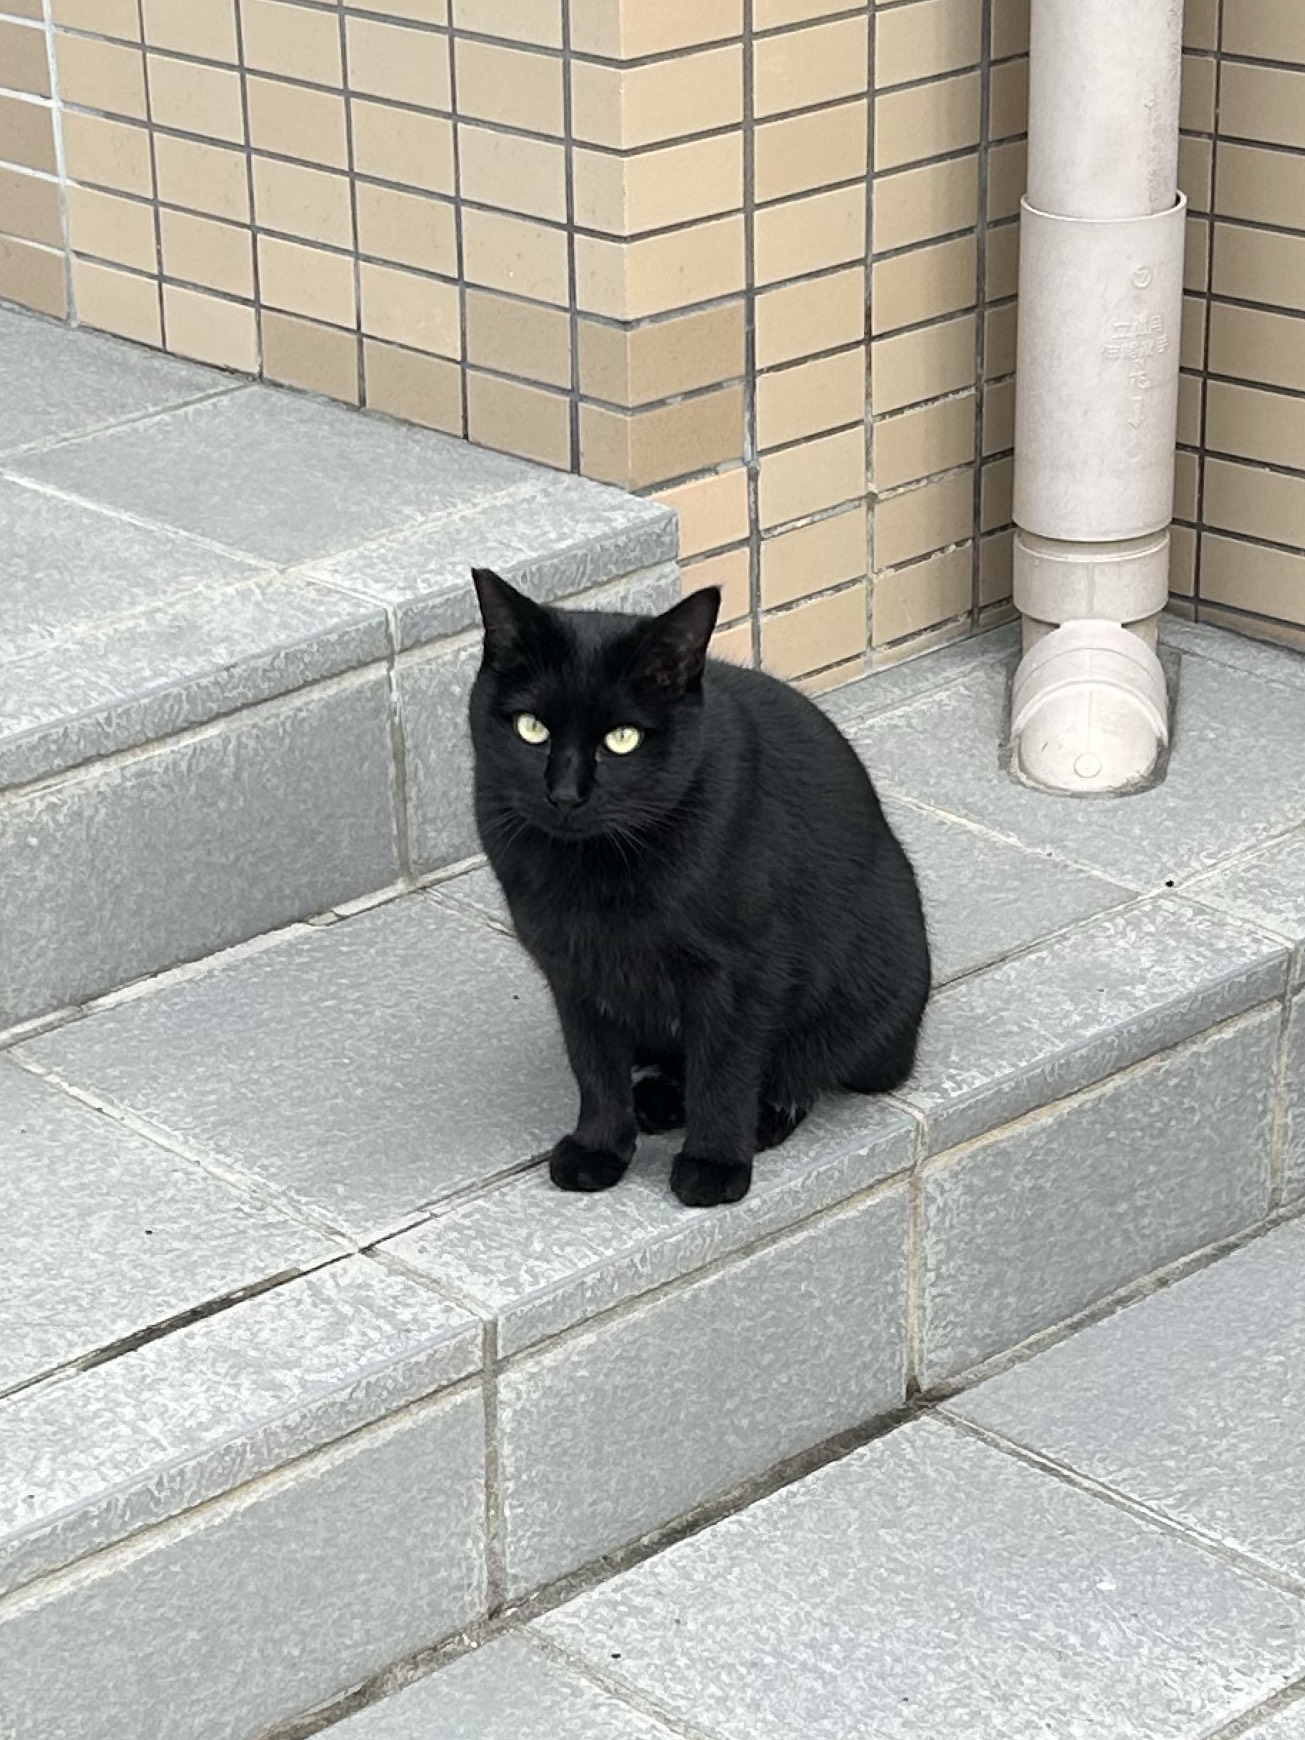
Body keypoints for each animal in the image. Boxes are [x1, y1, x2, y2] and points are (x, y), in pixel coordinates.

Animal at [468, 568, 931, 1208]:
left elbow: (724, 1069)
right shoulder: (572, 970)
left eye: (622, 739)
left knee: (798, 1068)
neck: (600, 872)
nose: (564, 794)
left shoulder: (740, 970)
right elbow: (594, 1066)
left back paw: (754, 1117)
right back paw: (658, 1100)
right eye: (531, 729)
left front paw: (713, 1163)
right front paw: (599, 1148)